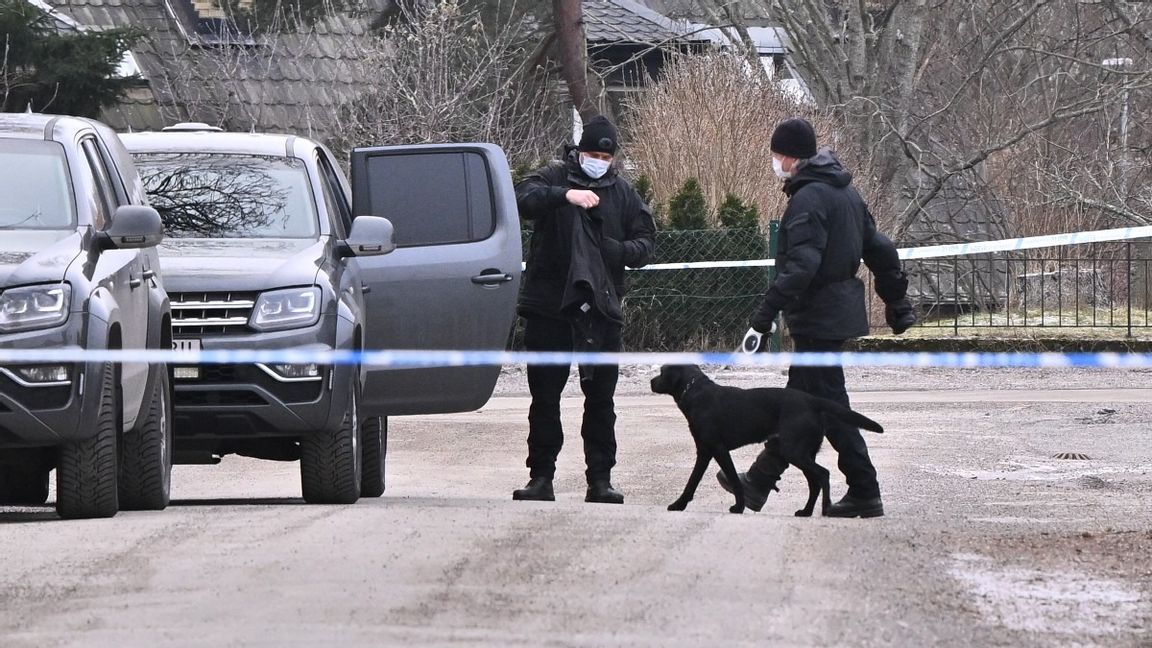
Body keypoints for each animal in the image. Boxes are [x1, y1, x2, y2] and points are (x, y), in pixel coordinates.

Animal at [649, 366, 880, 511]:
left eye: (661, 371)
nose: (651, 381)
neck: (695, 392)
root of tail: (813, 401)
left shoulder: (718, 448)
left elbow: (733, 479)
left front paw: (738, 507)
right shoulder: (705, 451)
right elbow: (693, 481)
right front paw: (679, 504)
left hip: (794, 450)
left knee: (823, 475)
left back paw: (825, 508)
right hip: (802, 451)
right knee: (814, 482)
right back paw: (805, 511)